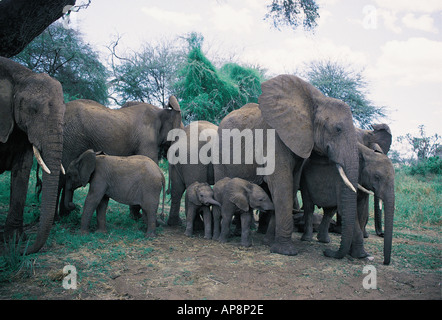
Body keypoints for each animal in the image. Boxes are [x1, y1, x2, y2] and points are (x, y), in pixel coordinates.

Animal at [214, 75, 362, 258]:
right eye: (338, 129)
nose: (327, 251)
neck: (316, 100)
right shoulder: (274, 138)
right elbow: (282, 184)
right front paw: (286, 251)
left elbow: (291, 185)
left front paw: (269, 242)